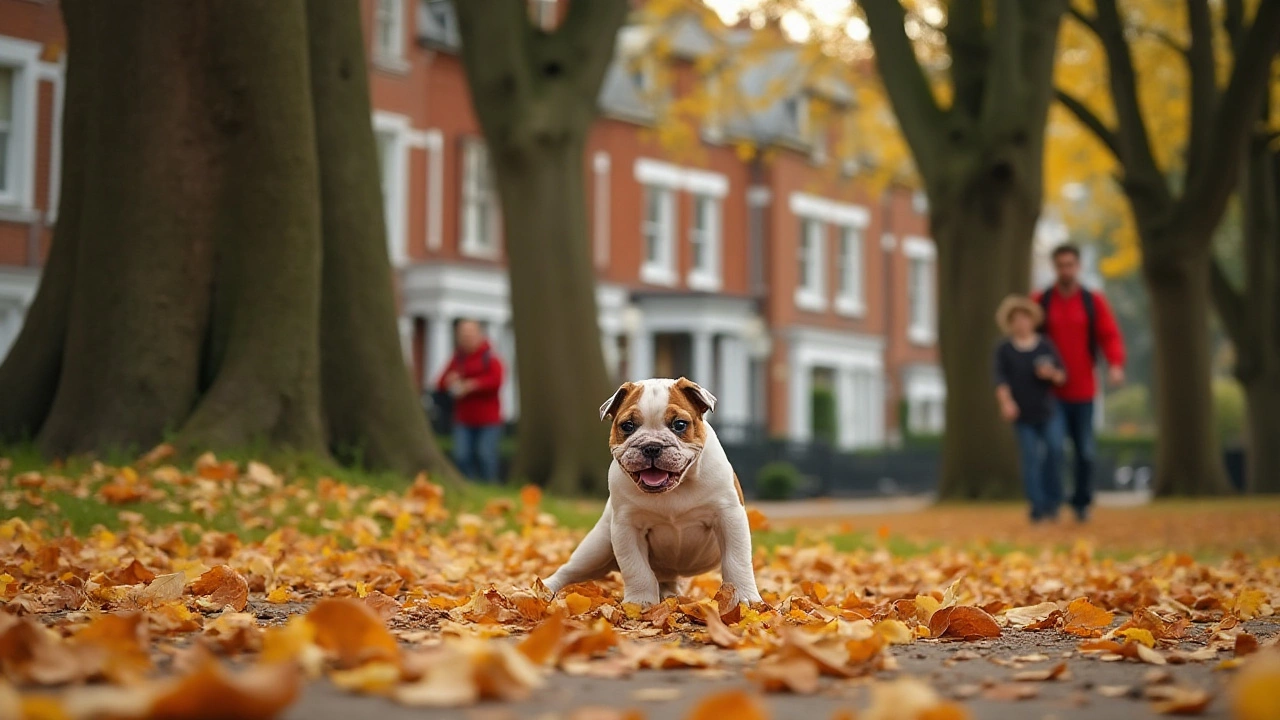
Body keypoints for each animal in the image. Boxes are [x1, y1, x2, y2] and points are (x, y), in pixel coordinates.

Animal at [540, 376, 757, 604]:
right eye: (627, 426)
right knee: (569, 570)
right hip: (595, 549)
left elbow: (736, 560)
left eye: (679, 424)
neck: (676, 488)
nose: (652, 446)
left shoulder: (729, 516)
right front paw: (639, 602)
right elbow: (636, 568)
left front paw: (745, 598)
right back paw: (544, 589)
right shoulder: (627, 526)